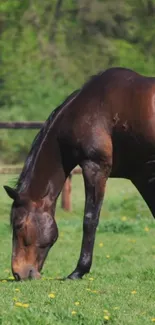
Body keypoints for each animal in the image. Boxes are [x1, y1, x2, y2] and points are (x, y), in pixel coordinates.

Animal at [3, 67, 155, 280]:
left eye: (17, 225)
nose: (18, 273)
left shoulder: (95, 167)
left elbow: (89, 219)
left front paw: (78, 271)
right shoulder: (141, 175)